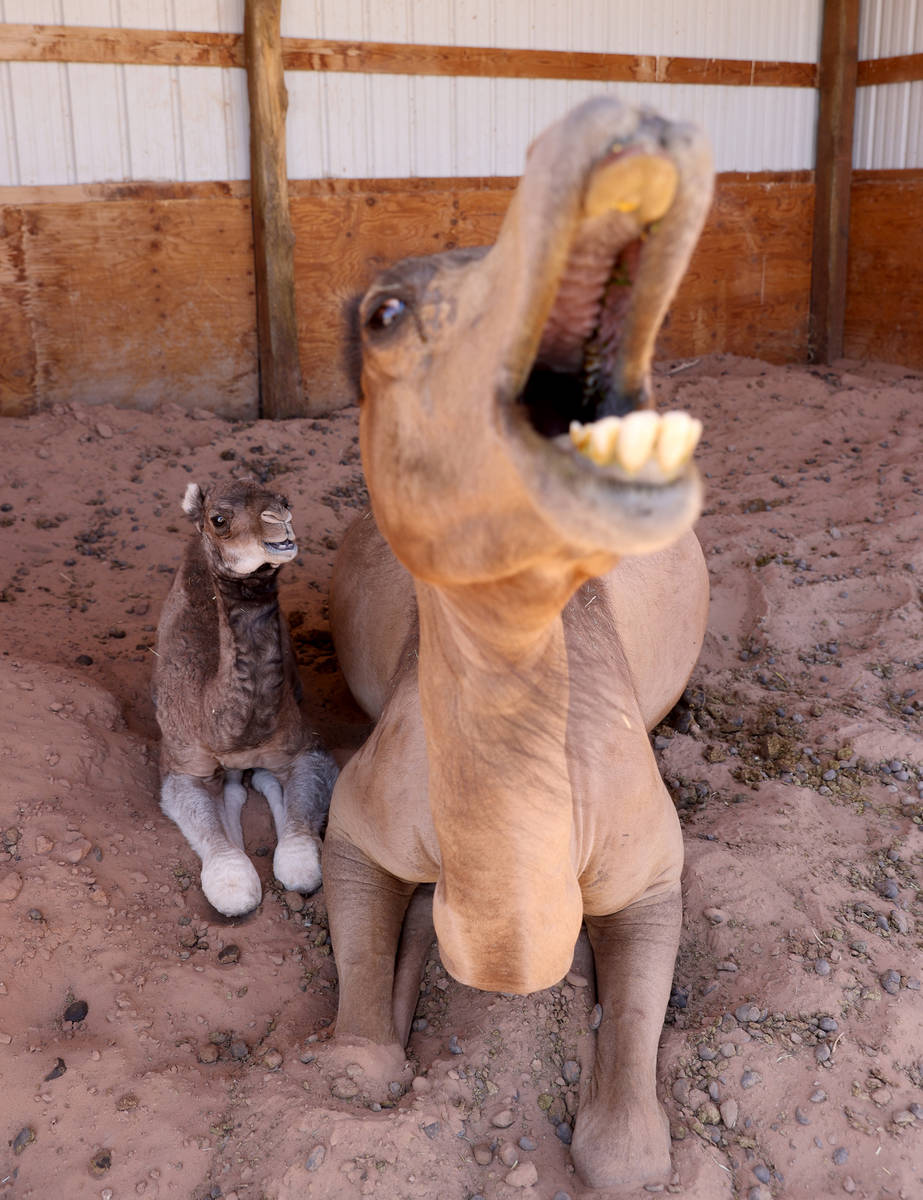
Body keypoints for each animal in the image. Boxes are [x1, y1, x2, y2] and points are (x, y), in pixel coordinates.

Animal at [153, 472, 336, 912]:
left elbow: (300, 866)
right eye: (219, 519)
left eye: (285, 500)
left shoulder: (304, 747)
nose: (278, 522)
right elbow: (231, 880)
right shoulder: (182, 764)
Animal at [324, 98, 710, 1195]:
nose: (626, 116)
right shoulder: (364, 813)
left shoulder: (648, 861)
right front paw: (374, 1041)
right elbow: (357, 1046)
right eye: (383, 313)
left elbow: (624, 1147)